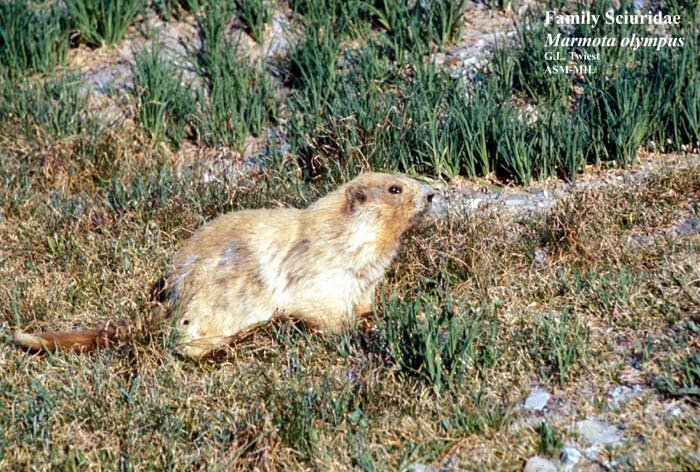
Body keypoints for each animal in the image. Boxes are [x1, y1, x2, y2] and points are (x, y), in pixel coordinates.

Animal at [13, 172, 438, 358]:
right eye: (395, 188)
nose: (434, 193)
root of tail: (166, 301)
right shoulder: (324, 268)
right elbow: (322, 306)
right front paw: (356, 331)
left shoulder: (364, 279)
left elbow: (364, 302)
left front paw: (381, 316)